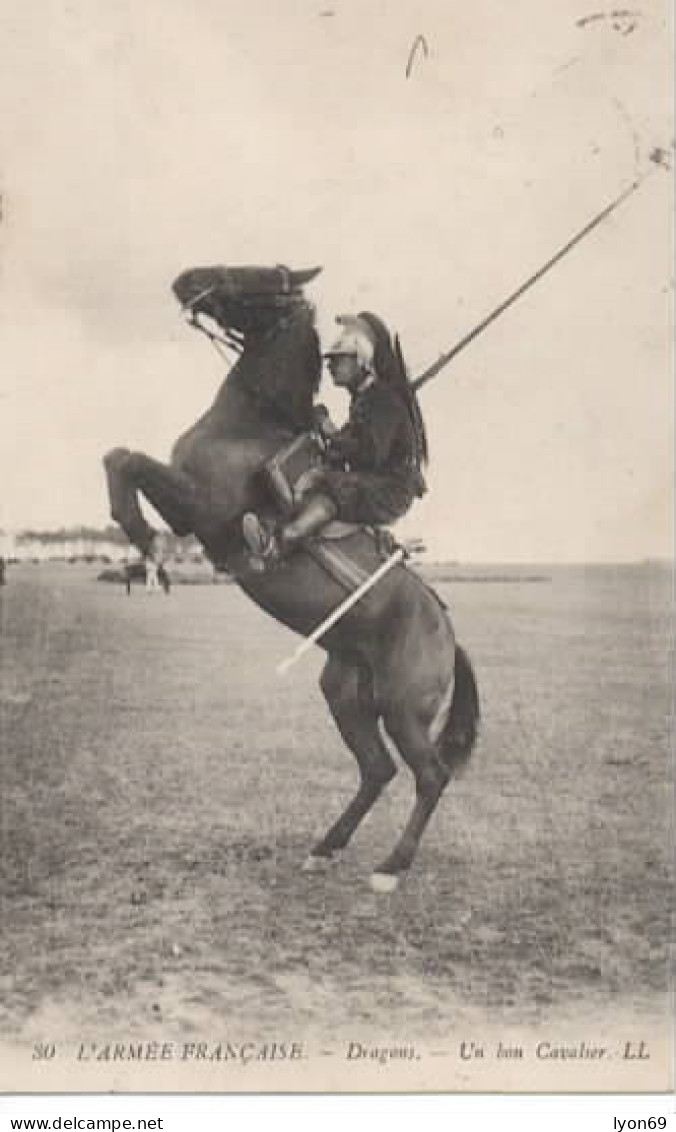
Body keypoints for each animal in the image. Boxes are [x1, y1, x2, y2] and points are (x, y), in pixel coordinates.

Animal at [103, 264, 477, 892]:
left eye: (261, 275)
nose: (187, 280)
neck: (250, 422)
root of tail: (448, 636)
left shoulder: (200, 509)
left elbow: (124, 460)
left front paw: (144, 537)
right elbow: (118, 455)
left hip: (404, 708)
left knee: (430, 775)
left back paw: (390, 868)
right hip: (348, 695)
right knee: (377, 769)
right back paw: (326, 847)